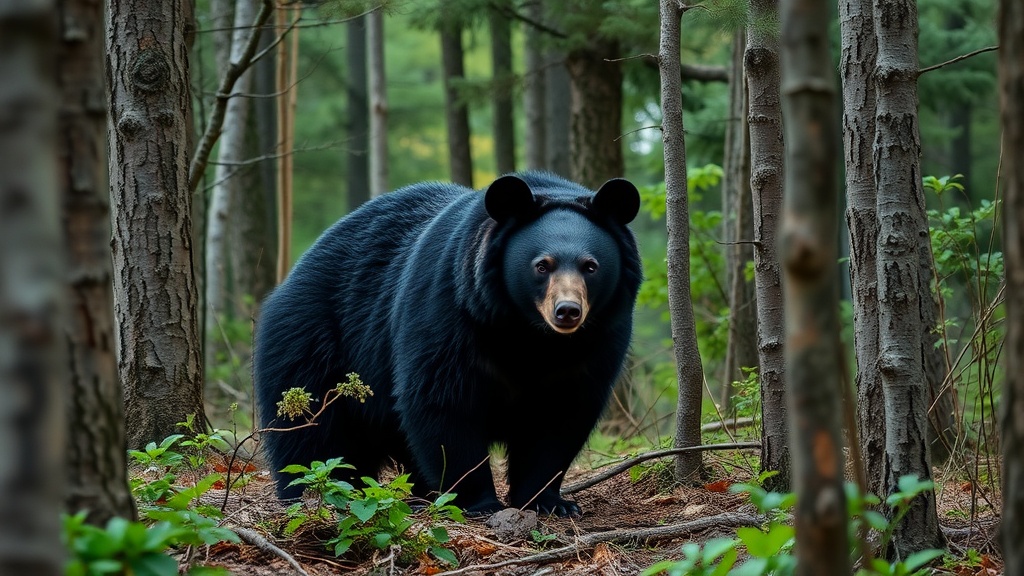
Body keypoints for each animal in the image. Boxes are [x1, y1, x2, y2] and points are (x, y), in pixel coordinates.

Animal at [252, 170, 642, 517]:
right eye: (542, 266)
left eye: (590, 266)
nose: (567, 312)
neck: (528, 334)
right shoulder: (448, 309)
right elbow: (444, 403)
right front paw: (479, 502)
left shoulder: (599, 340)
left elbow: (560, 417)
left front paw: (551, 503)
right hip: (312, 340)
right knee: (309, 432)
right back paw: (318, 493)